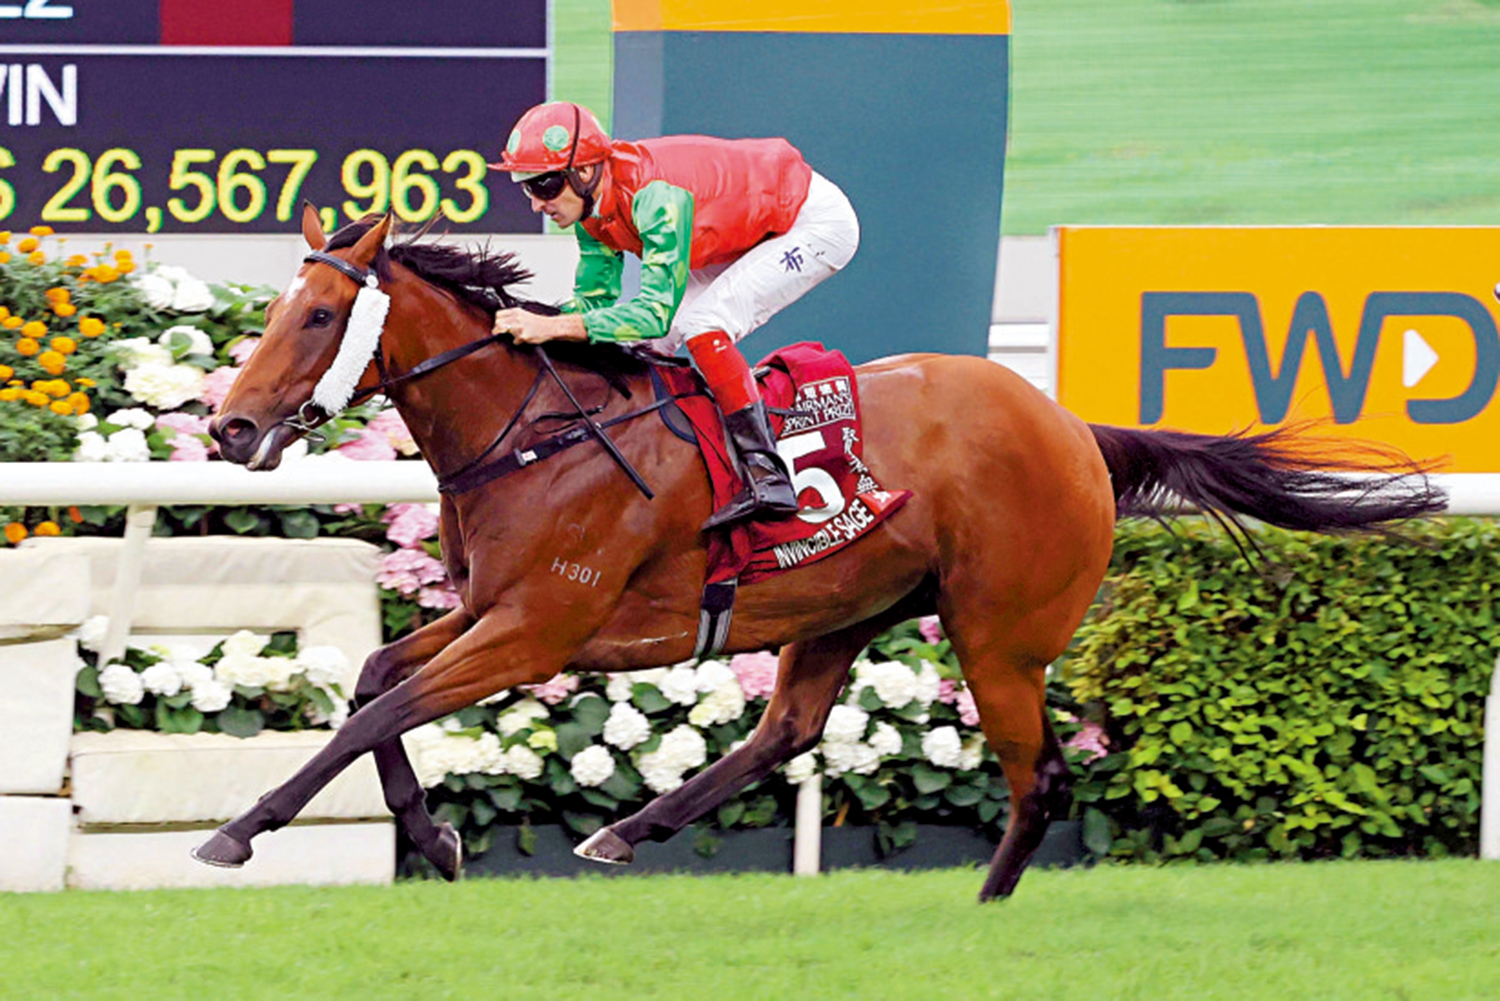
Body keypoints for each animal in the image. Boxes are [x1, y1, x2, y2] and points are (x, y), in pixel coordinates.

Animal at [197, 206, 1444, 901]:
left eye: (317, 318)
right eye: (274, 310)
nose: (229, 429)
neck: (538, 430)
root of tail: (1073, 427)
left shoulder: (537, 630)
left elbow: (373, 710)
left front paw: (237, 830)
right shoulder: (489, 611)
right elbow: (375, 683)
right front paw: (433, 833)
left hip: (999, 633)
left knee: (1037, 775)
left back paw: (985, 905)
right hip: (844, 606)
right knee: (787, 728)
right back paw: (623, 830)